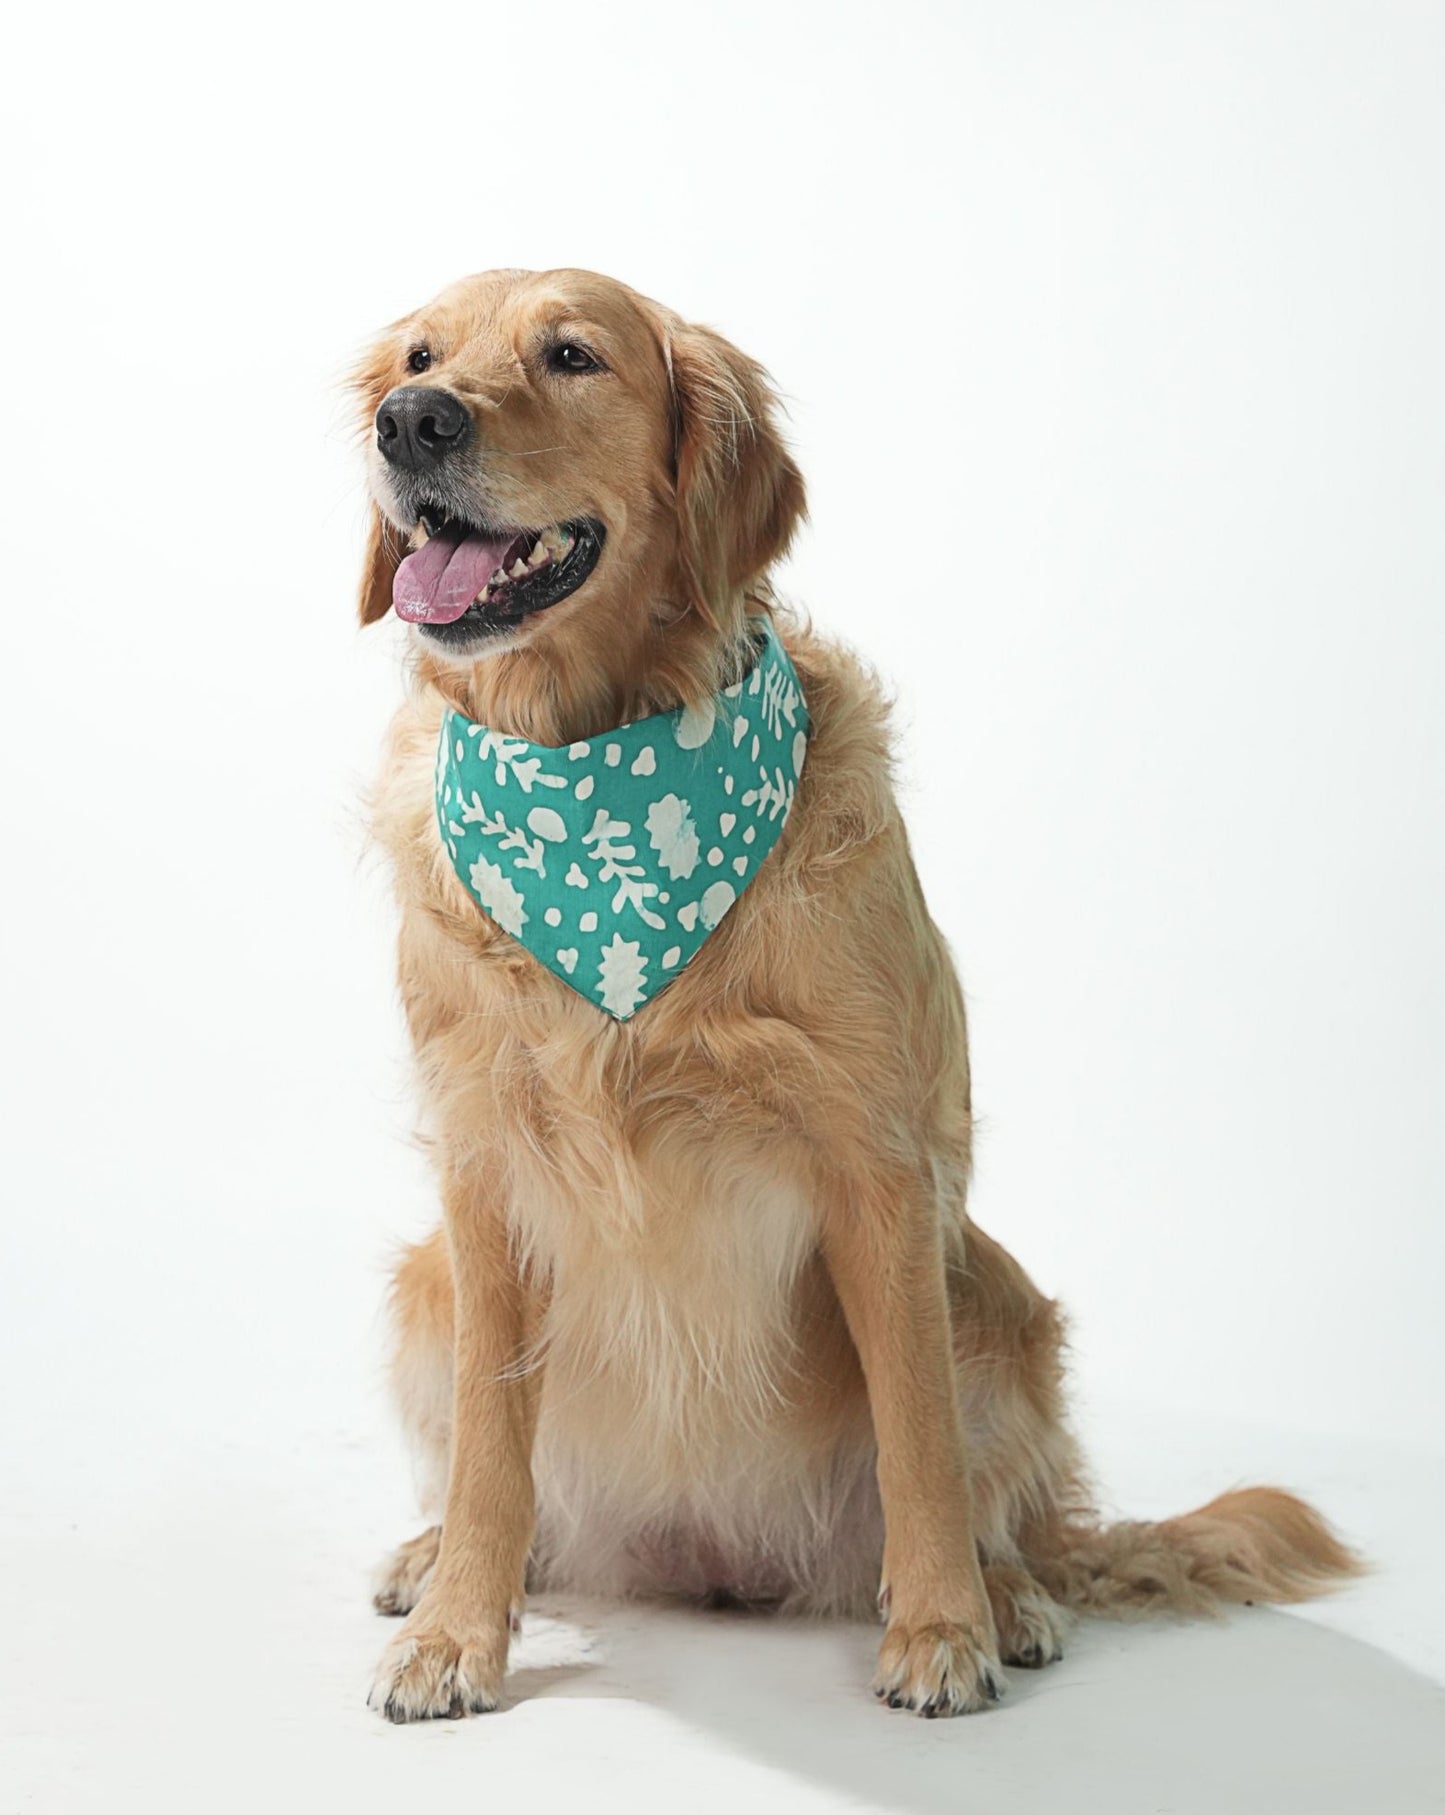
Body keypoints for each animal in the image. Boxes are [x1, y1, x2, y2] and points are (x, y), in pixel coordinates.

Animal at [346, 264, 1357, 1713]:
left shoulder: (874, 1155)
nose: (409, 423)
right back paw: (434, 1558)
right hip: (422, 1283)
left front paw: (939, 1629)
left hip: (991, 1291)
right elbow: (492, 1437)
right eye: (418, 359)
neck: (597, 774)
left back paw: (1010, 1594)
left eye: (572, 355)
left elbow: (916, 1434)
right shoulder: (483, 1169)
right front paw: (452, 1632)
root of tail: (707, 1552)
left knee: (997, 1499)